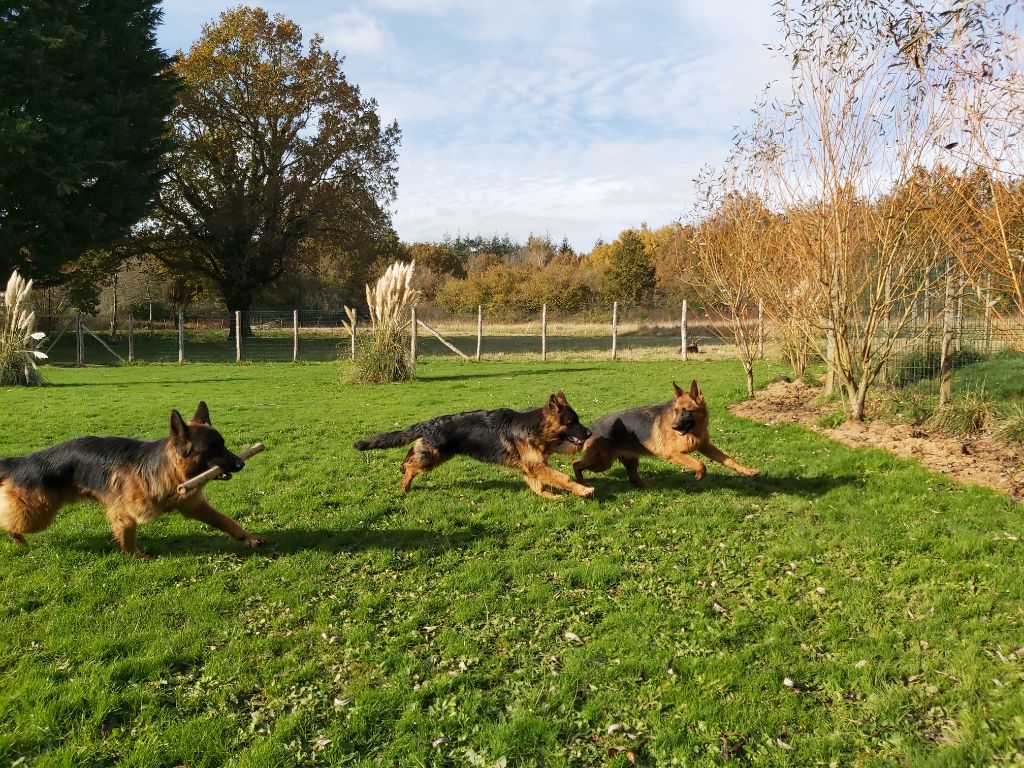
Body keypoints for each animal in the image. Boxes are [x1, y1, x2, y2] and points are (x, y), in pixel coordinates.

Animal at [0, 403, 268, 561]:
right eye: (211, 449)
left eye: (223, 444)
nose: (240, 463)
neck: (168, 472)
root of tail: (21, 461)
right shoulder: (123, 514)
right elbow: (127, 537)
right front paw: (136, 557)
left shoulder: (194, 506)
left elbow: (226, 520)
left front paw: (248, 537)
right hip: (36, 514)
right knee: (9, 522)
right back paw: (16, 538)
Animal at [354, 391, 593, 499]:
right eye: (572, 422)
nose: (590, 433)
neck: (535, 428)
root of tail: (429, 423)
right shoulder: (537, 465)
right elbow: (563, 478)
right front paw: (583, 489)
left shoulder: (531, 467)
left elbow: (538, 485)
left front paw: (549, 497)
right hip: (434, 455)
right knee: (411, 465)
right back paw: (405, 483)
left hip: (432, 453)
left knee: (408, 458)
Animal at [573, 382, 757, 489]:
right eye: (676, 411)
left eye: (687, 411)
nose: (674, 427)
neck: (694, 430)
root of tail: (592, 427)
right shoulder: (672, 454)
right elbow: (700, 464)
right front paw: (699, 475)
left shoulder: (705, 446)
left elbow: (729, 460)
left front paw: (747, 471)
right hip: (602, 462)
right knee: (576, 464)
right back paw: (582, 483)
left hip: (628, 460)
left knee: (633, 478)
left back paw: (648, 486)